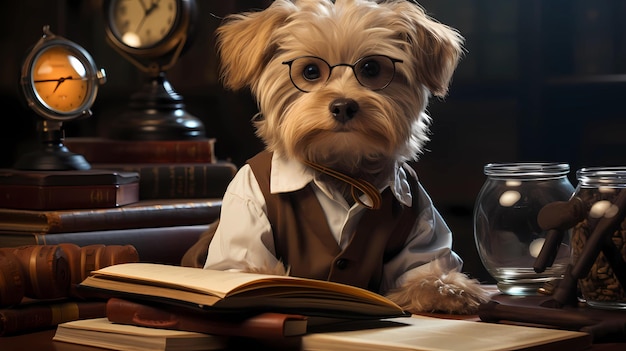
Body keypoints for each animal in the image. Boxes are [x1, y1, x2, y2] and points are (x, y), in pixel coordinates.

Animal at [202, 0, 490, 314]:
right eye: (310, 71)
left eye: (371, 68)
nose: (343, 106)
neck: (341, 171)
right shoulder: (246, 205)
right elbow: (250, 273)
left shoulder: (422, 216)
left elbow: (425, 272)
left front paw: (448, 290)